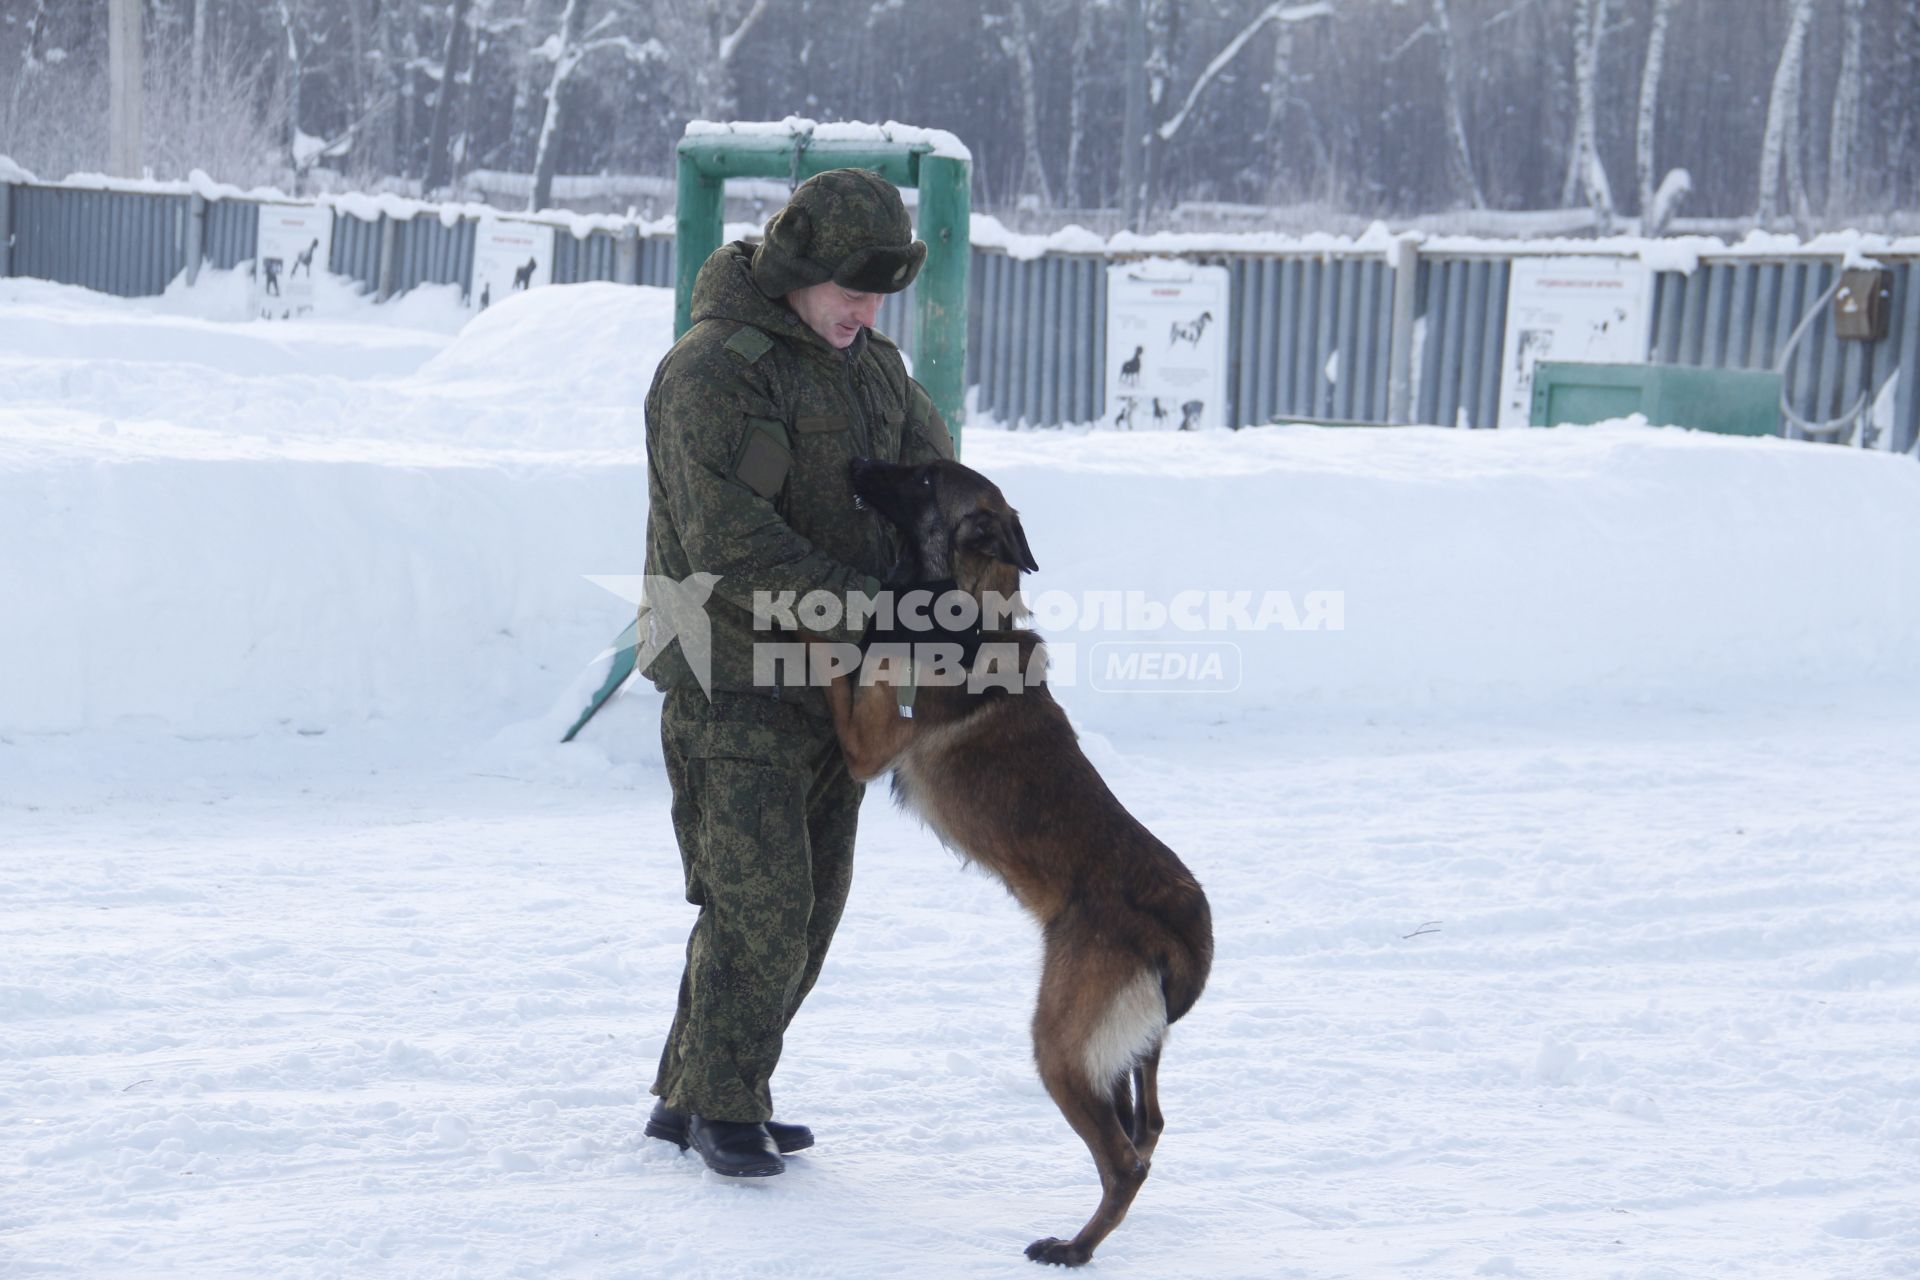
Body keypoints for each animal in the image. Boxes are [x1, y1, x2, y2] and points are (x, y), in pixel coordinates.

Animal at [825, 454, 1213, 1266]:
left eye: (922, 478)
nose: (858, 463)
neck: (962, 609)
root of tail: (1184, 938)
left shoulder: (866, 748)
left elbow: (836, 670)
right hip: (1121, 1051)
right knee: (1150, 1125)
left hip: (1059, 1045)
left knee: (1124, 1162)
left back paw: (1074, 1248)